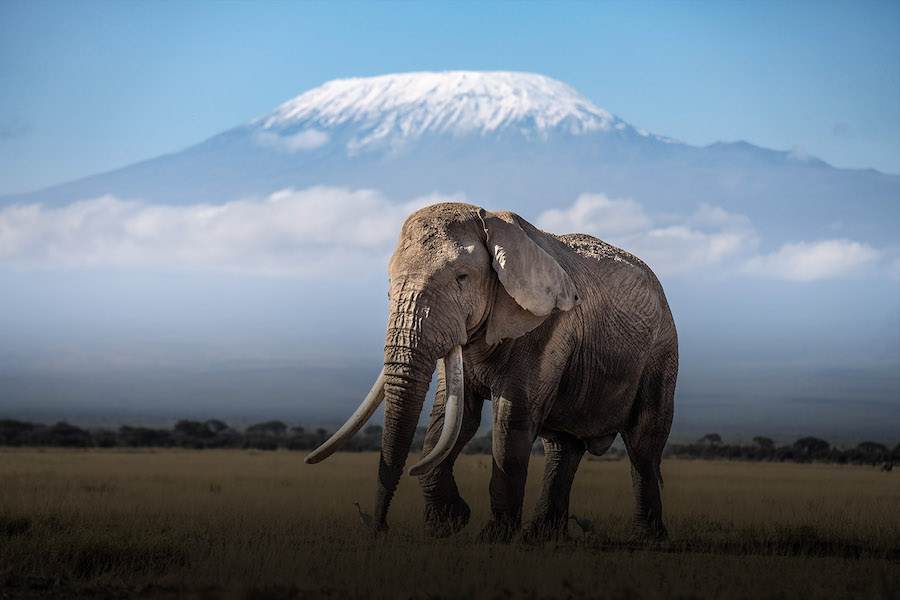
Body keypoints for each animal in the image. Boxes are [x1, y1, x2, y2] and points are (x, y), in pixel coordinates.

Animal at [306, 202, 677, 542]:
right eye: (389, 283)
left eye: (462, 277)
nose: (379, 528)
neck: (492, 219)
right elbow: (452, 417)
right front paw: (446, 525)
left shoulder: (550, 324)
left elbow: (511, 419)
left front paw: (492, 537)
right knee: (562, 446)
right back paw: (541, 538)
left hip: (661, 352)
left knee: (644, 442)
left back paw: (645, 539)